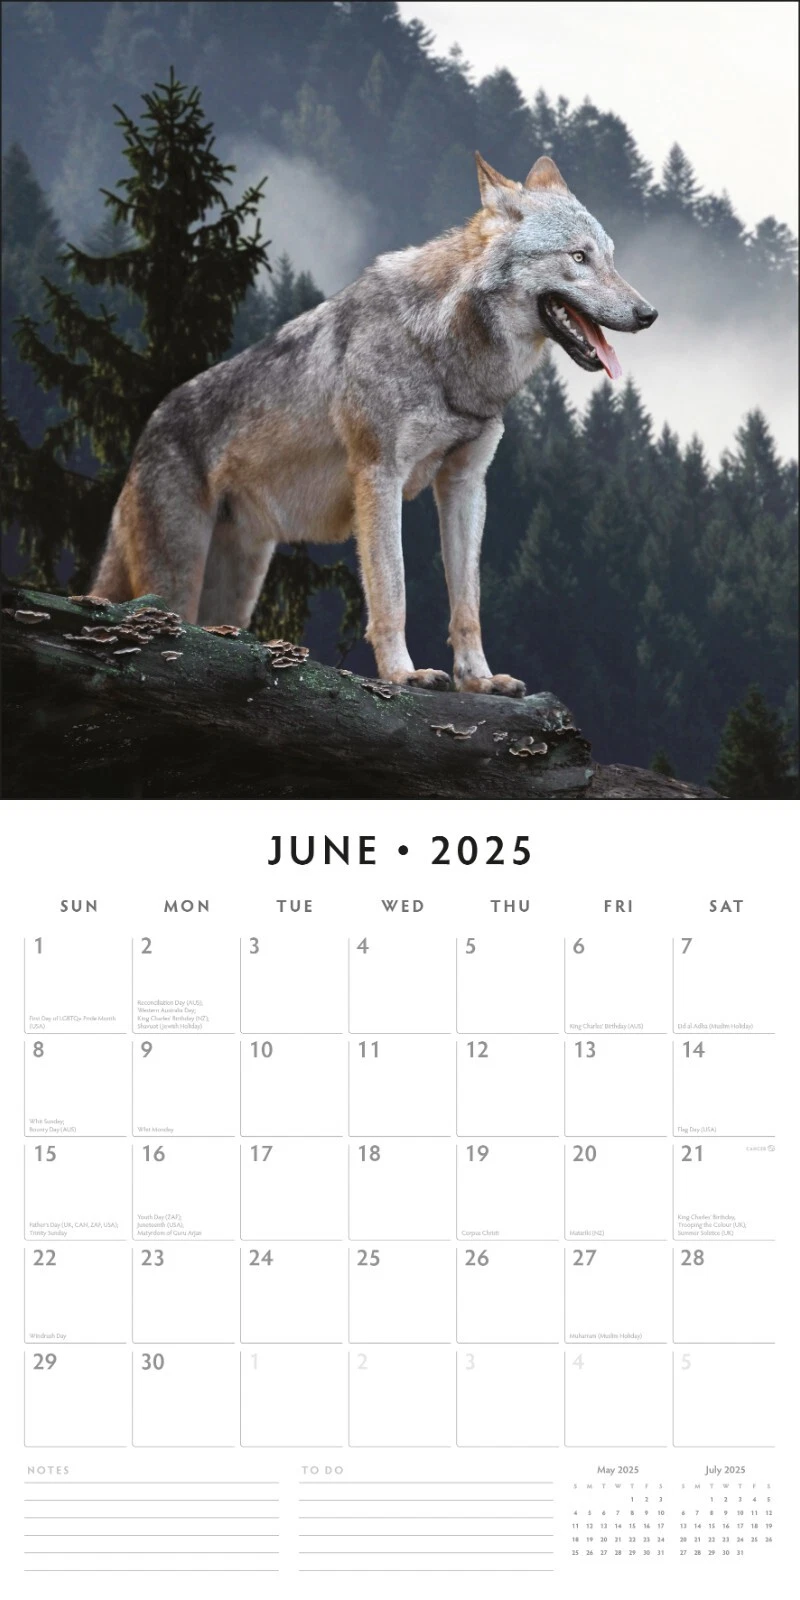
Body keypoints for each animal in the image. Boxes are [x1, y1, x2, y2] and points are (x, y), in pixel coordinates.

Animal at [94, 153, 657, 693]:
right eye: (578, 257)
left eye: (610, 257)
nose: (648, 314)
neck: (446, 352)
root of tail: (146, 431)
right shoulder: (379, 476)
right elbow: (393, 592)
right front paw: (403, 675)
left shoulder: (465, 483)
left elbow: (467, 604)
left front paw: (478, 679)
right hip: (176, 582)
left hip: (236, 589)